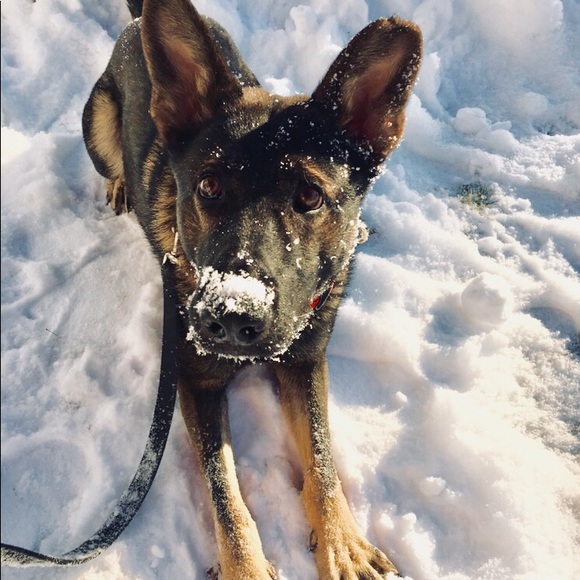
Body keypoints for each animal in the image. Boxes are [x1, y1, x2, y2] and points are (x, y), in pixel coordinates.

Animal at [82, 0, 422, 577]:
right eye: (209, 186)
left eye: (309, 196)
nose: (231, 316)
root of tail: (138, 22)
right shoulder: (194, 381)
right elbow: (225, 491)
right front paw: (245, 564)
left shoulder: (305, 361)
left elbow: (322, 460)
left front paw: (342, 544)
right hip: (99, 129)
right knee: (109, 160)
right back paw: (121, 182)